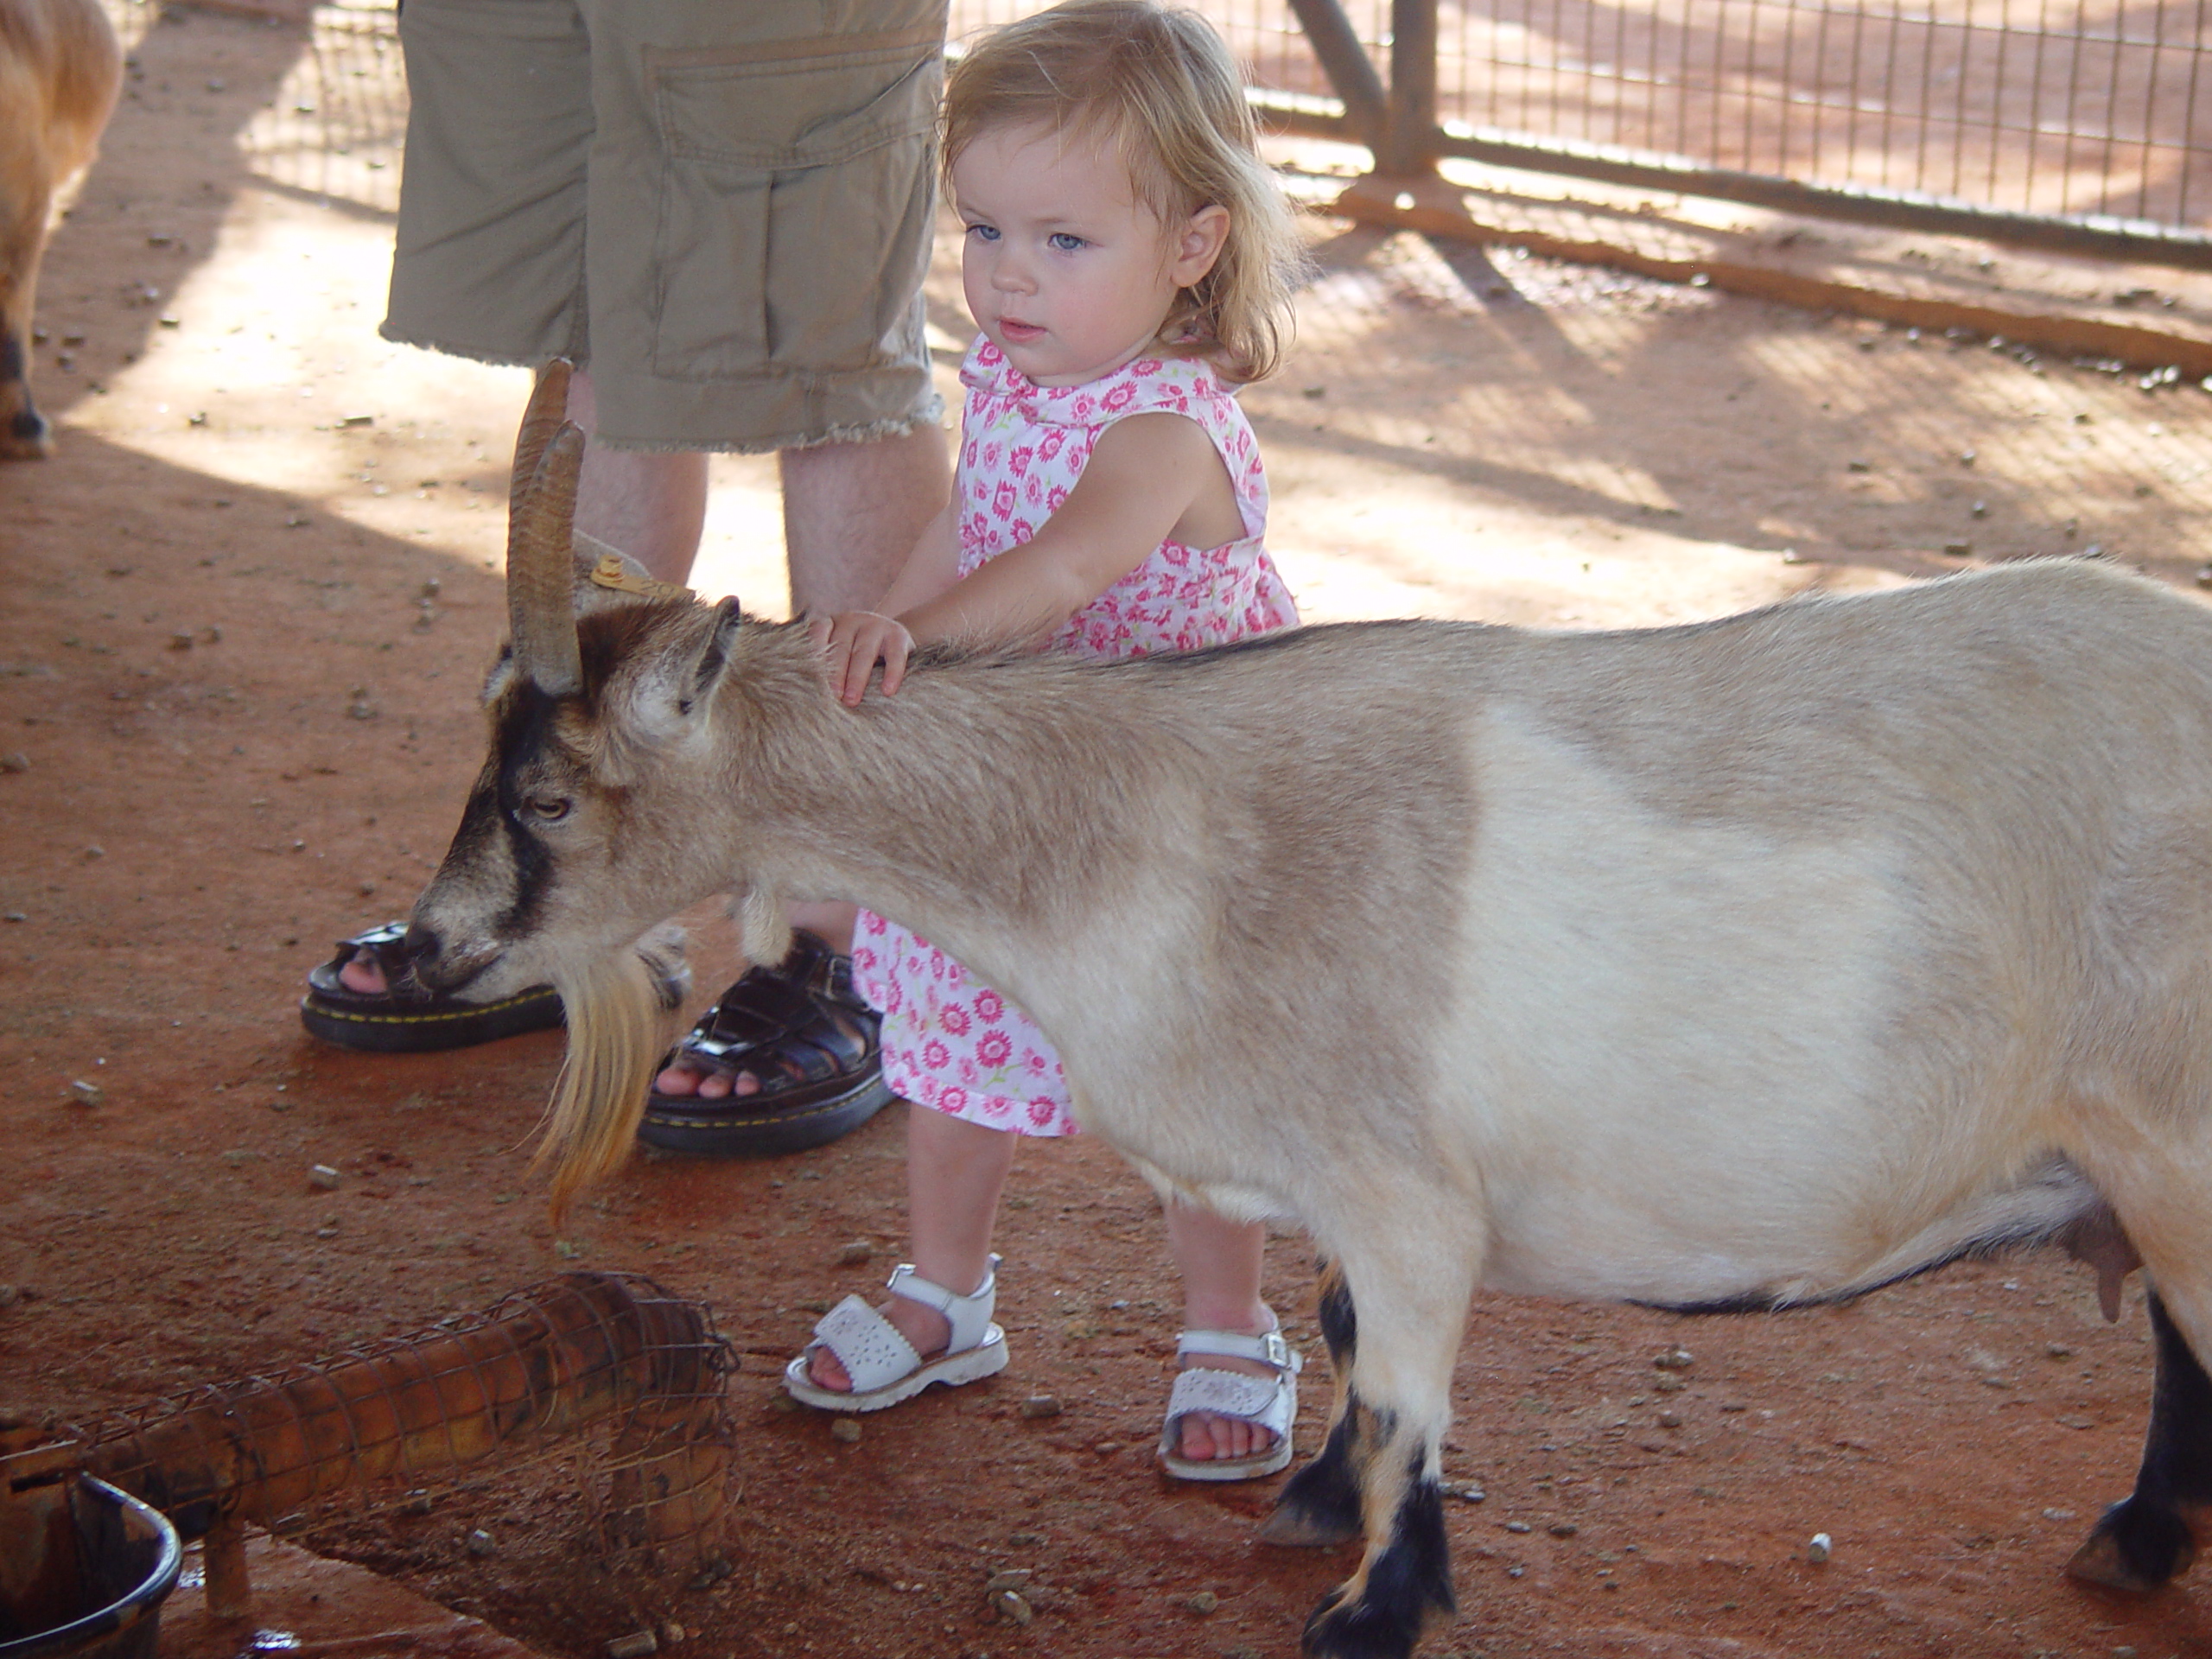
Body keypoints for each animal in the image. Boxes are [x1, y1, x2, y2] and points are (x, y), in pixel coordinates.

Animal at [407, 362, 2212, 1659]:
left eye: (550, 797)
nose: (429, 953)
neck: (1158, 819)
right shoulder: (1340, 1188)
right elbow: (1340, 1336)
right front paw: (1315, 1510)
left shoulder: (1407, 1187)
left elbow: (1408, 1379)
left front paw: (1370, 1614)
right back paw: (2132, 1544)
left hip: (2172, 1137)